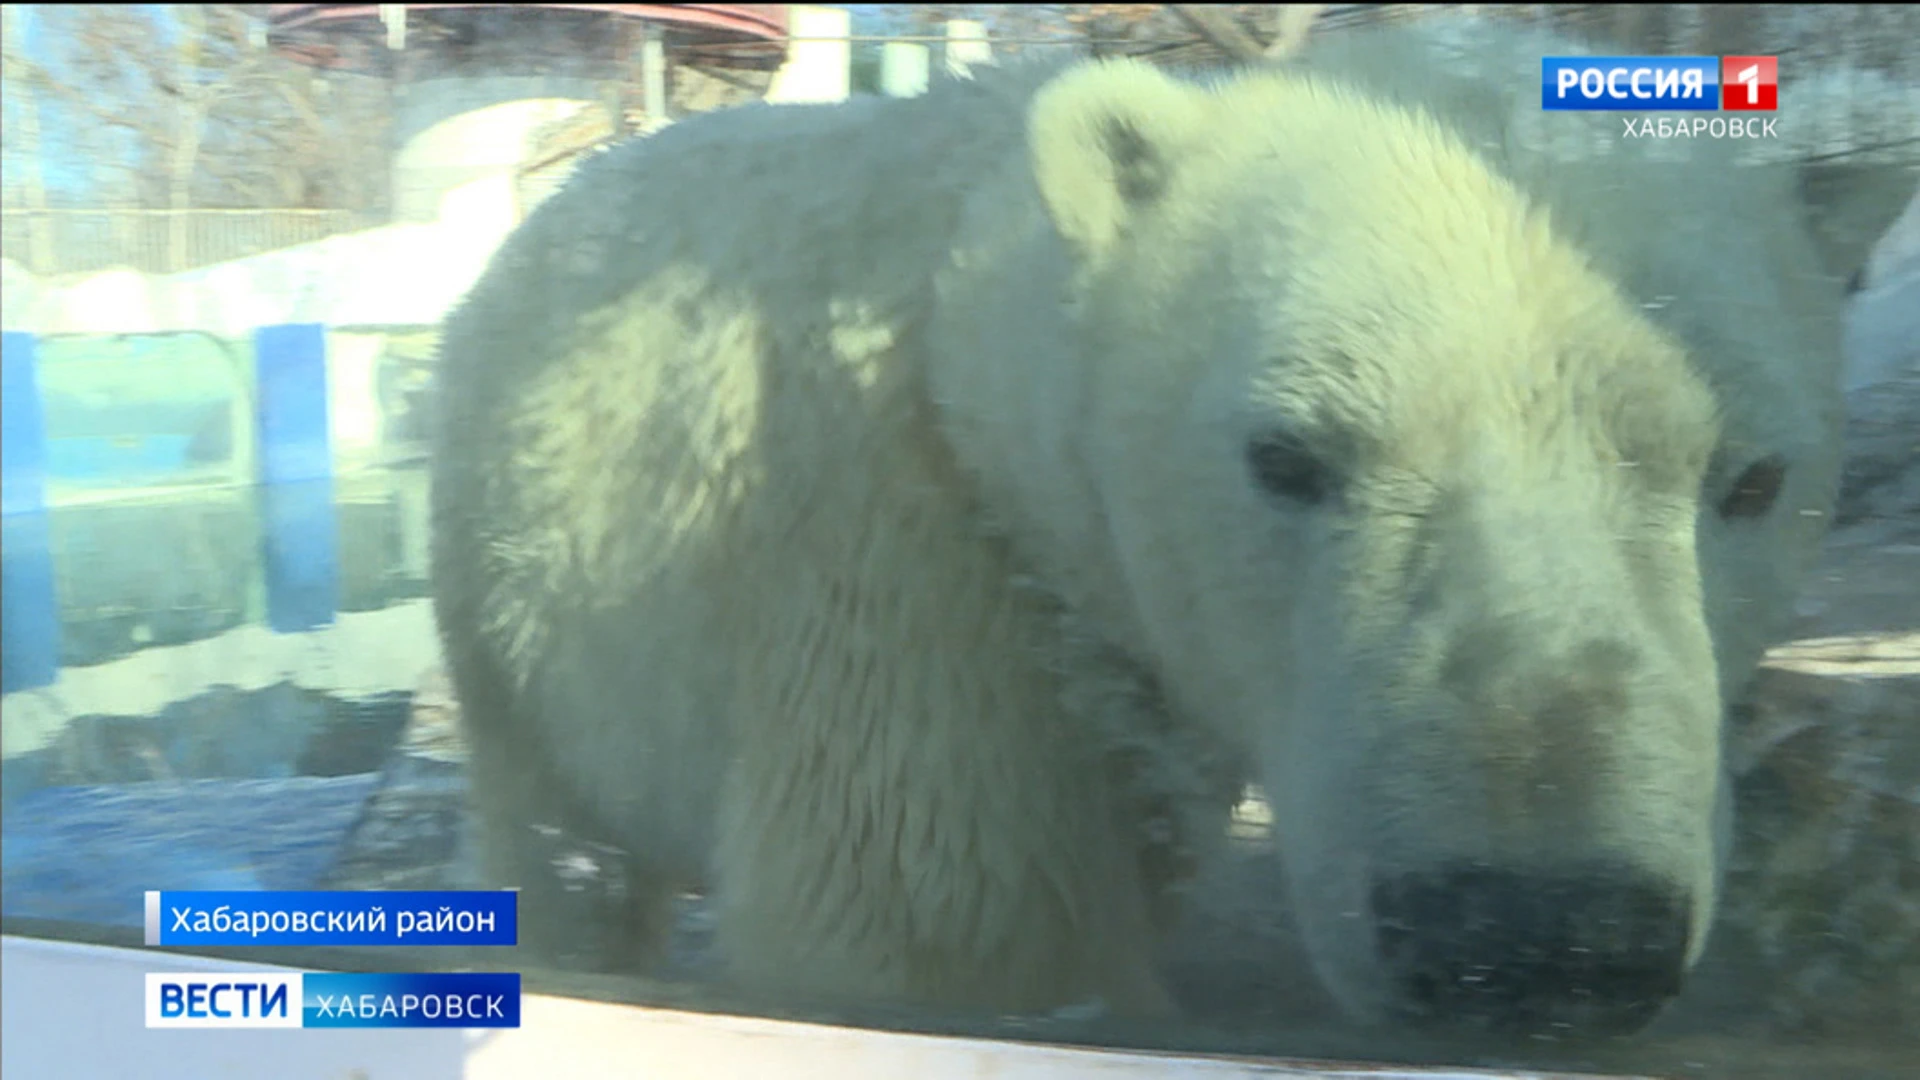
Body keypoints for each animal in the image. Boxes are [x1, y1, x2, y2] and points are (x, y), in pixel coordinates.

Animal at [432, 23, 1843, 1037]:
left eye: (1751, 479)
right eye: (1287, 456)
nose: (1535, 934)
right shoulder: (918, 590)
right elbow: (949, 942)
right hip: (510, 607)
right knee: (554, 841)